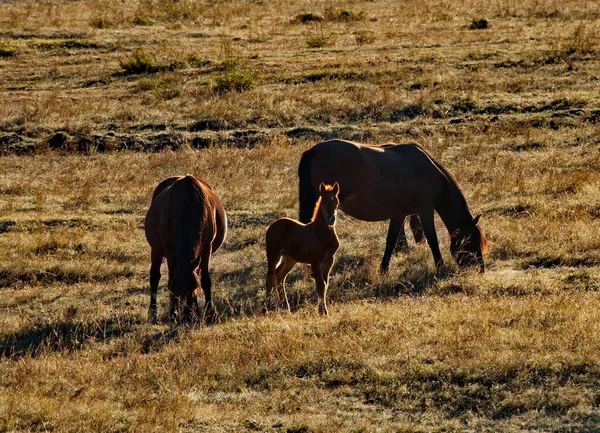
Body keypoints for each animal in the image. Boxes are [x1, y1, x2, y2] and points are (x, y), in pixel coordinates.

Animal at [144, 174, 227, 322]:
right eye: (175, 288)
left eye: (195, 286)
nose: (187, 316)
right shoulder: (169, 251)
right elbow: (169, 277)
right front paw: (173, 313)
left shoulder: (206, 248)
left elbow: (205, 280)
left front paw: (210, 312)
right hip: (156, 250)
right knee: (154, 276)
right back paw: (153, 311)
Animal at [264, 181, 340, 316]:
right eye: (324, 202)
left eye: (337, 202)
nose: (331, 219)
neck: (321, 234)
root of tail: (272, 225)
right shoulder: (315, 261)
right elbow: (320, 285)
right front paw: (323, 312)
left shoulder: (329, 261)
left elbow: (325, 285)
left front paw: (322, 310)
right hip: (273, 254)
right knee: (270, 277)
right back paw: (265, 309)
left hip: (290, 258)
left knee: (279, 275)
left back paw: (286, 307)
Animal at [296, 140, 488, 272]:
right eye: (472, 241)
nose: (480, 269)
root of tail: (313, 151)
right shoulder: (425, 211)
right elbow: (432, 240)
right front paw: (440, 267)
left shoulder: (399, 214)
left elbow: (391, 241)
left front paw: (384, 270)